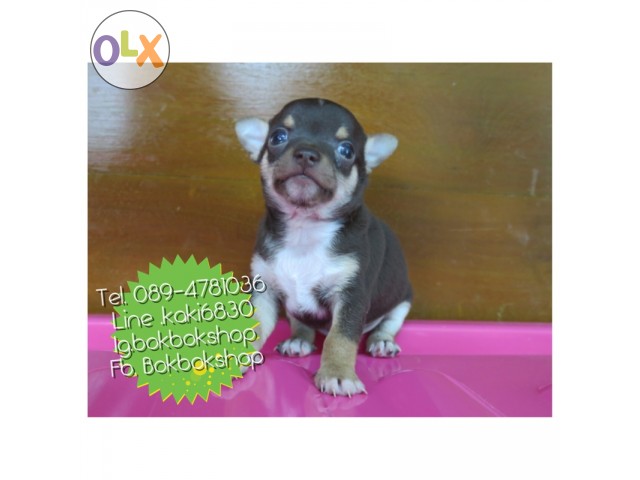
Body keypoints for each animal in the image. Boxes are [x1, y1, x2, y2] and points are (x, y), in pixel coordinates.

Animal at [235, 98, 412, 396]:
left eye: (347, 150)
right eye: (278, 137)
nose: (306, 153)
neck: (304, 228)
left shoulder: (351, 297)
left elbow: (340, 338)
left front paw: (337, 374)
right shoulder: (264, 290)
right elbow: (253, 327)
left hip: (402, 300)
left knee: (388, 323)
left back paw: (382, 341)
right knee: (301, 323)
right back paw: (299, 340)